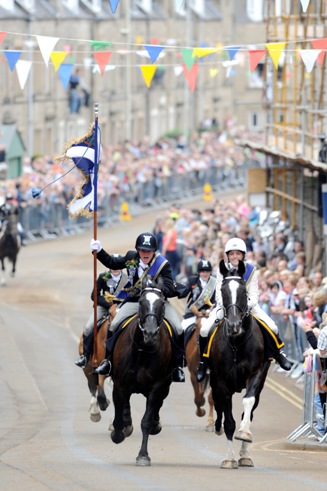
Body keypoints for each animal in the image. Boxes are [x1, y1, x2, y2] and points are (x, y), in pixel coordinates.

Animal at [210, 260, 272, 470]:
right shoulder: (221, 381)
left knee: (250, 412)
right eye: (223, 290)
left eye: (244, 290)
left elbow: (248, 404)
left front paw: (244, 433)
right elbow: (228, 420)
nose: (234, 325)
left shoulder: (256, 374)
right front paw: (229, 459)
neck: (237, 343)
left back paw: (245, 455)